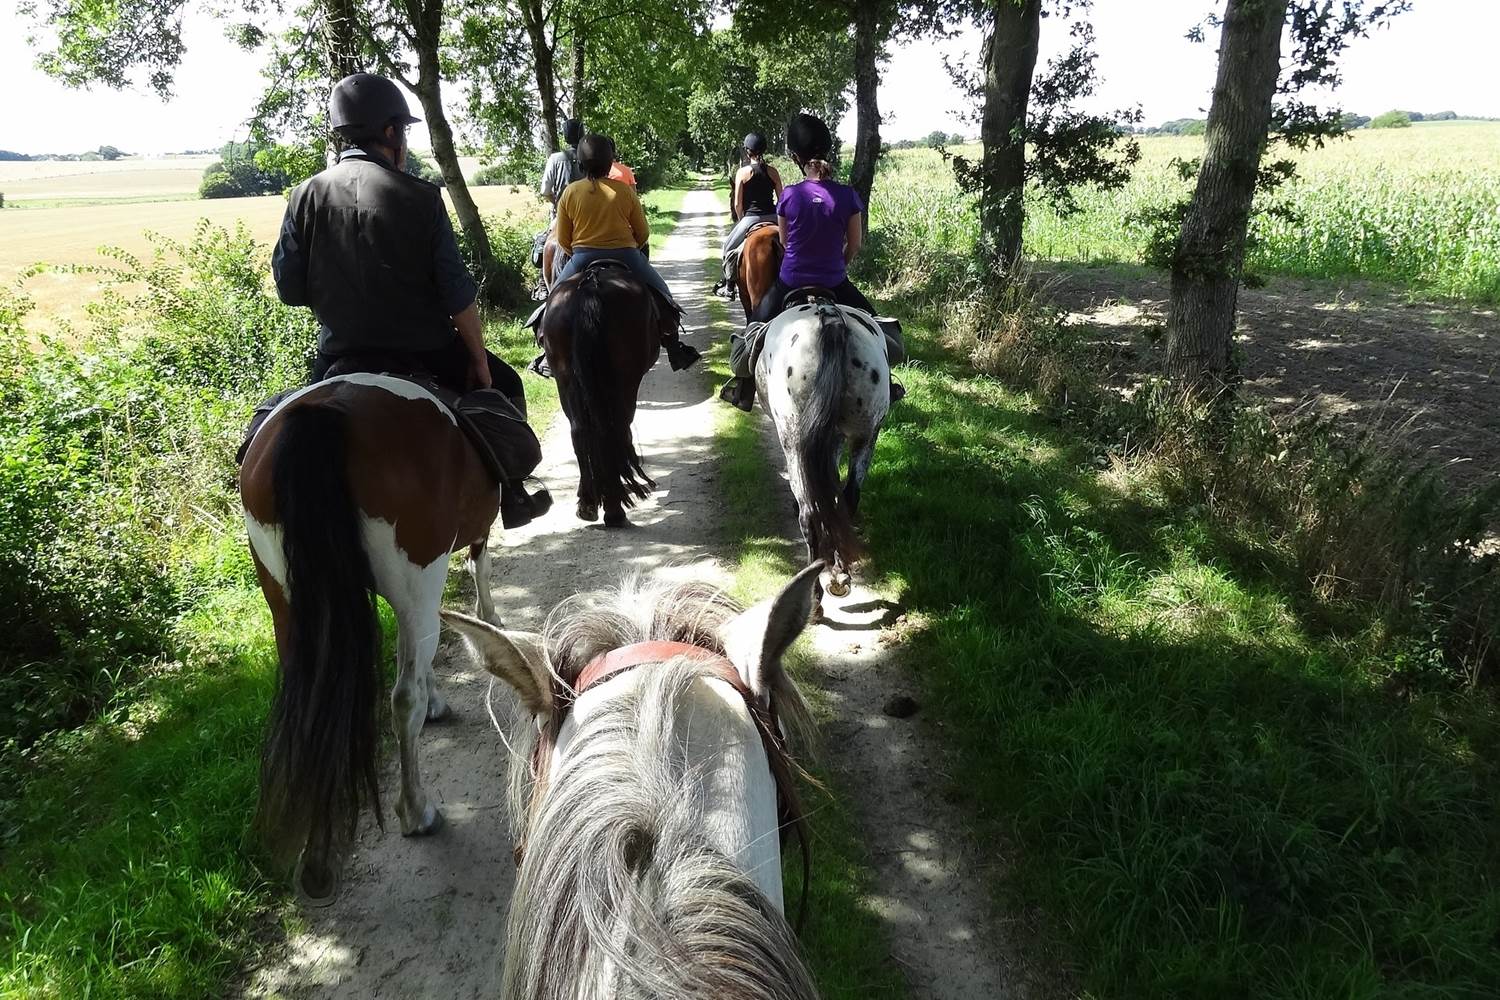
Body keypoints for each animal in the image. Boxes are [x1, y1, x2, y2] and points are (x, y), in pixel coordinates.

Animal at [239, 373, 504, 903]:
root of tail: (327, 411)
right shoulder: (461, 547)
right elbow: (477, 575)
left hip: (285, 599)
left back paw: (316, 862)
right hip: (419, 572)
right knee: (402, 698)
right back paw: (417, 812)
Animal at [541, 263, 678, 527]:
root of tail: (591, 286)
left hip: (566, 378)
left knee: (580, 431)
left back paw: (588, 504)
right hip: (625, 378)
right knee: (617, 427)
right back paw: (615, 509)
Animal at [756, 292, 892, 603]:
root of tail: (829, 316)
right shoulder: (832, 438)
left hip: (793, 437)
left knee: (809, 513)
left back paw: (815, 592)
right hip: (866, 432)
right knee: (848, 498)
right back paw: (841, 575)